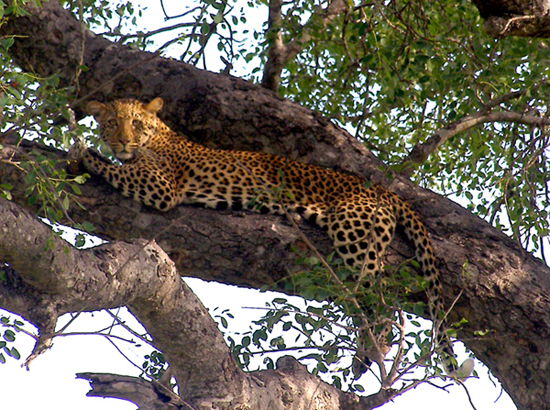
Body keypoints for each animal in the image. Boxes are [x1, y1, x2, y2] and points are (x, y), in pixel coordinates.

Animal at [70, 96, 474, 378]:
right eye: (111, 123)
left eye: (136, 124)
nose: (122, 142)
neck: (159, 135)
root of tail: (382, 189)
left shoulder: (161, 187)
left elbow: (113, 168)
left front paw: (82, 151)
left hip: (354, 232)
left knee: (380, 300)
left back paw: (369, 353)